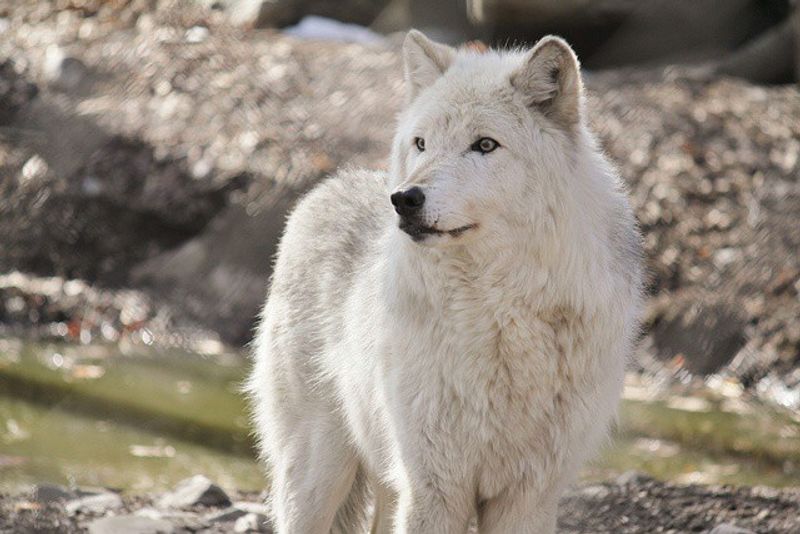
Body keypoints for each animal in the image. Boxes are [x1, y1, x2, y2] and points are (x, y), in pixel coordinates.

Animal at [248, 30, 644, 534]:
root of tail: (326, 186)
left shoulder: (527, 497)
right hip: (319, 474)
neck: (499, 318)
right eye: (421, 142)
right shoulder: (432, 489)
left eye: (485, 145)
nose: (404, 199)